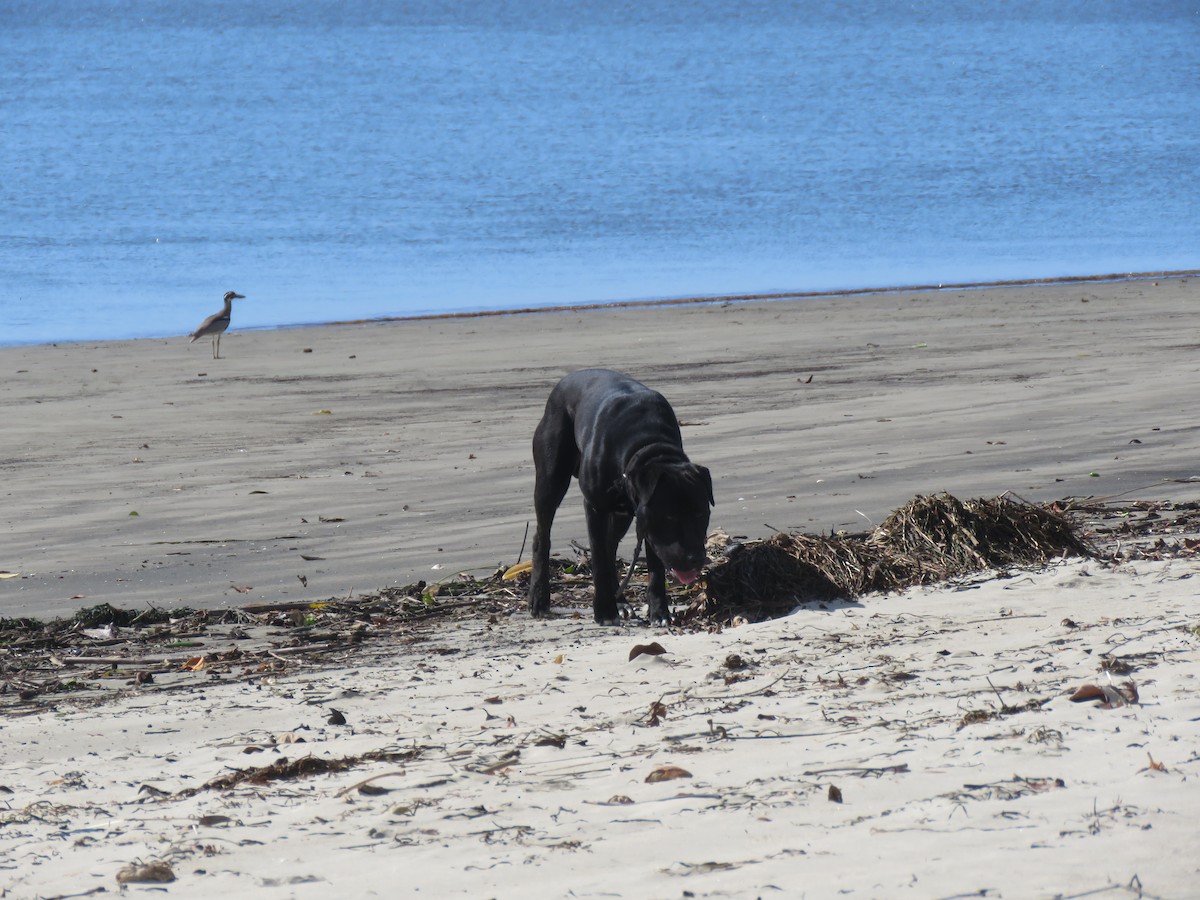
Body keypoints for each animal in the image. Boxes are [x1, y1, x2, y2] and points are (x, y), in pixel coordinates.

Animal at [528, 369, 710, 624]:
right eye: (670, 518)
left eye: (702, 514)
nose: (696, 558)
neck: (647, 447)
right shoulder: (595, 507)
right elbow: (599, 560)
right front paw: (604, 611)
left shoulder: (647, 521)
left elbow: (655, 567)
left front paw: (659, 612)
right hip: (551, 478)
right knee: (543, 535)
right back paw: (539, 597)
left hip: (621, 514)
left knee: (610, 545)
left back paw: (621, 602)